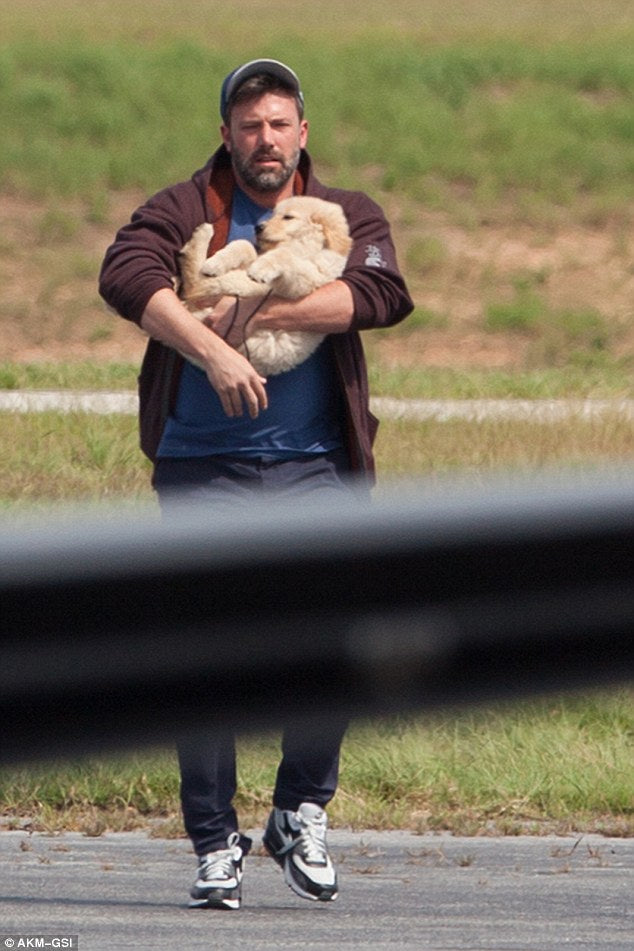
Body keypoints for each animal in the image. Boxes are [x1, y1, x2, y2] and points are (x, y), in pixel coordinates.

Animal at [178, 197, 350, 376]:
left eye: (288, 217)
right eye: (273, 214)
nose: (258, 227)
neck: (305, 247)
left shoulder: (301, 283)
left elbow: (284, 256)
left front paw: (260, 268)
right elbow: (245, 245)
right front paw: (217, 261)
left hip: (230, 285)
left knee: (193, 282)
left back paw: (201, 236)